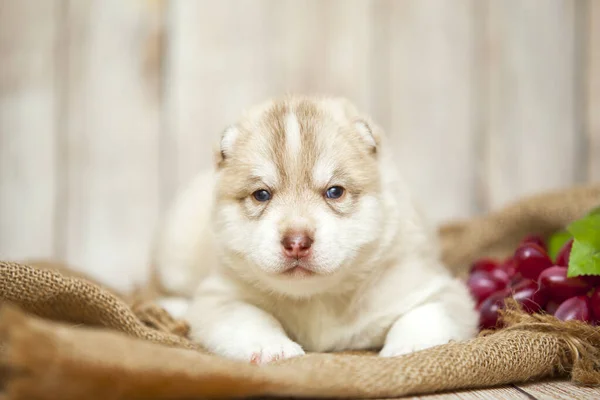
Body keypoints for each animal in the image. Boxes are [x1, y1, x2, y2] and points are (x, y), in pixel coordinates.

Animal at [154, 96, 478, 362]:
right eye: (261, 194)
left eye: (334, 192)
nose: (296, 241)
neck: (316, 299)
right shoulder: (219, 296)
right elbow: (248, 317)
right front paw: (271, 346)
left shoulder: (432, 286)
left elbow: (425, 313)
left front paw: (410, 347)